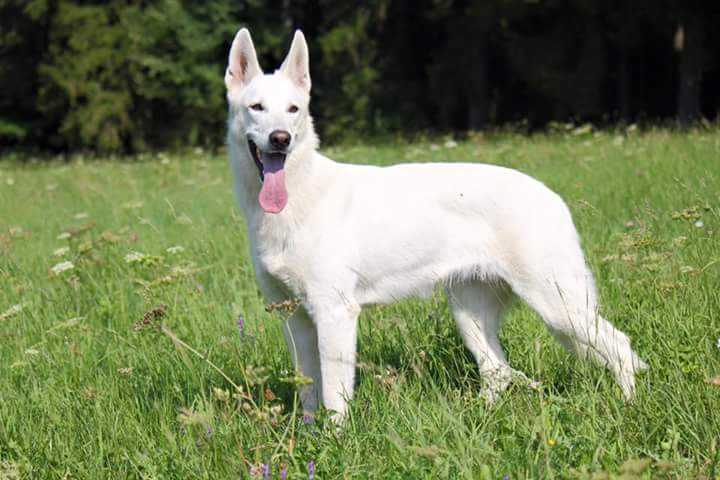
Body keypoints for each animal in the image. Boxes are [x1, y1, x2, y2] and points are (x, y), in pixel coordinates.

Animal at [225, 28, 648, 424]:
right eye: (256, 108)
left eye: (293, 109)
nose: (281, 139)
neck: (298, 197)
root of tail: (552, 196)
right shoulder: (293, 316)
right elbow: (309, 390)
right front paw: (310, 439)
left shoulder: (335, 313)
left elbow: (333, 397)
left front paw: (335, 442)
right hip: (470, 311)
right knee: (497, 370)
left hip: (557, 306)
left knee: (621, 347)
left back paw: (628, 409)